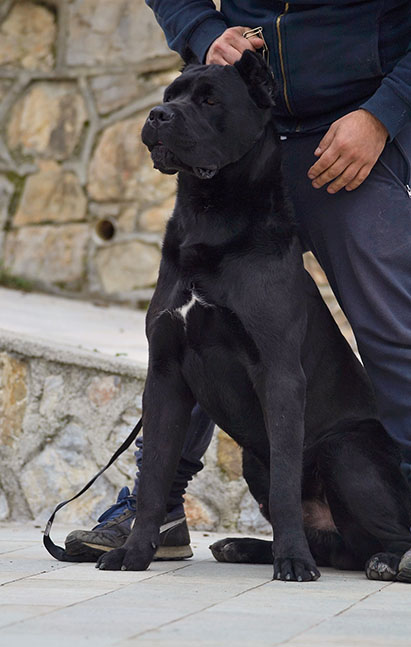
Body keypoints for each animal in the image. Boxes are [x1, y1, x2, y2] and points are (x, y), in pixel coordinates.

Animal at [97, 53, 411, 584]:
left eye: (209, 100)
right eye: (169, 96)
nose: (158, 117)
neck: (208, 215)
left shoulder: (279, 373)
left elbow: (286, 485)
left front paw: (293, 562)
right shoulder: (165, 374)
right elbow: (155, 472)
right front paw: (134, 553)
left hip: (345, 450)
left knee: (379, 537)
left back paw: (386, 561)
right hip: (251, 460)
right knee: (337, 547)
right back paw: (241, 546)